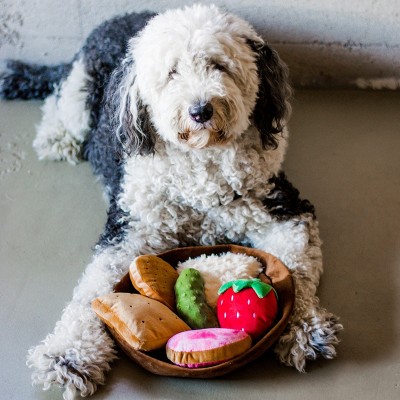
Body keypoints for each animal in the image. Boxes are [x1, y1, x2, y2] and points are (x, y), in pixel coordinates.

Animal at [1, 3, 342, 400]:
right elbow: (93, 288)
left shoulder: (284, 210)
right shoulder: (130, 228)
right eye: (172, 72)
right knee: (59, 99)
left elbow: (297, 271)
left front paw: (303, 327)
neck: (202, 165)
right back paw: (56, 137)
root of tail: (124, 17)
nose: (201, 110)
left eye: (219, 65)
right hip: (80, 95)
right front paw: (69, 354)